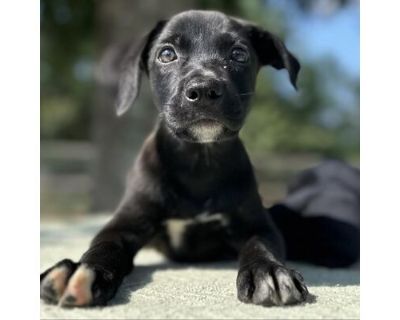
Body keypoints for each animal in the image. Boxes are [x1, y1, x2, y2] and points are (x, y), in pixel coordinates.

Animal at [40, 10, 308, 308]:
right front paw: (81, 270)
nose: (204, 91)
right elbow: (104, 246)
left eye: (239, 54)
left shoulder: (257, 225)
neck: (198, 161)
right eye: (167, 54)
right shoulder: (125, 223)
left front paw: (268, 271)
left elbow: (260, 245)